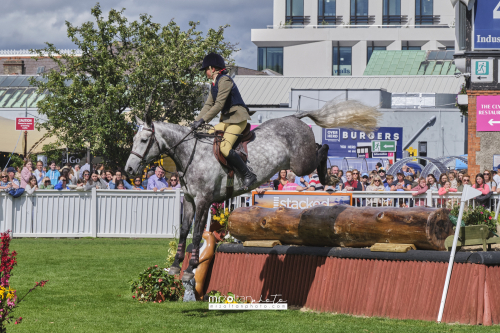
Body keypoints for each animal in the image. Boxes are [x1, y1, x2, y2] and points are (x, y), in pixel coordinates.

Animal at [124, 99, 378, 280]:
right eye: (134, 139)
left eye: (145, 140)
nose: (128, 169)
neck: (190, 154)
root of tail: (294, 116)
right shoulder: (188, 199)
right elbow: (184, 231)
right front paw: (176, 266)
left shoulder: (204, 200)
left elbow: (196, 232)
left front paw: (190, 269)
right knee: (319, 148)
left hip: (301, 163)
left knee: (322, 148)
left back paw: (329, 178)